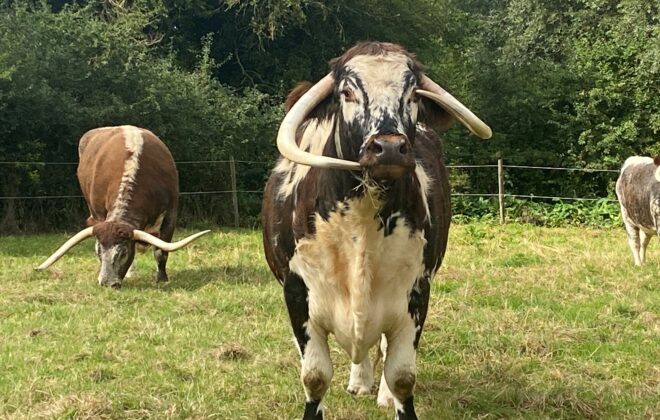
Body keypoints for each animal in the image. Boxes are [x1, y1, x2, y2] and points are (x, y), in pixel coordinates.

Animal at [36, 125, 210, 287]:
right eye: (98, 251)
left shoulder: (171, 215)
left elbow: (161, 252)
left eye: (123, 253)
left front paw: (162, 279)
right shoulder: (100, 215)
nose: (106, 283)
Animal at [261, 42, 491, 419]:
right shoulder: (296, 293)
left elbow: (401, 375)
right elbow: (314, 377)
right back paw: (359, 380)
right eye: (347, 92)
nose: (390, 148)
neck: (361, 219)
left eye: (412, 94)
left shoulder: (416, 292)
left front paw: (392, 394)